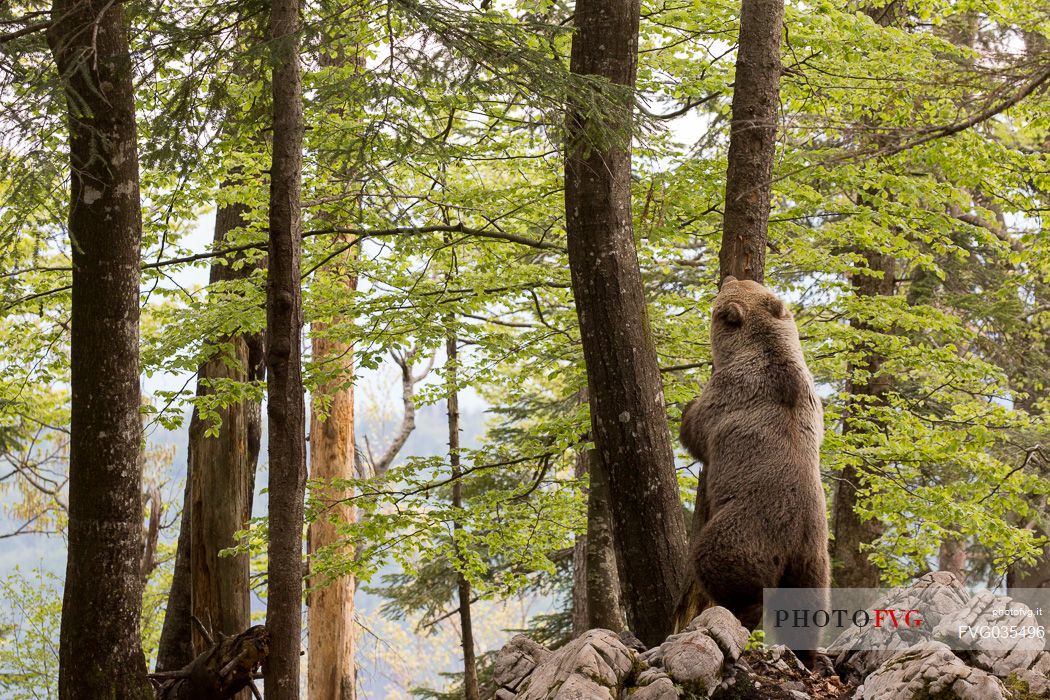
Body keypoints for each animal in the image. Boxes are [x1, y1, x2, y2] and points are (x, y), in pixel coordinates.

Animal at [680, 277, 827, 667]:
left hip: (745, 530)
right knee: (807, 607)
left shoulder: (731, 391)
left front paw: (686, 409)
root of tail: (792, 542)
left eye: (719, 302)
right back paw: (807, 654)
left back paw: (735, 615)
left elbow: (698, 428)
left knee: (724, 568)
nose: (728, 277)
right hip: (813, 560)